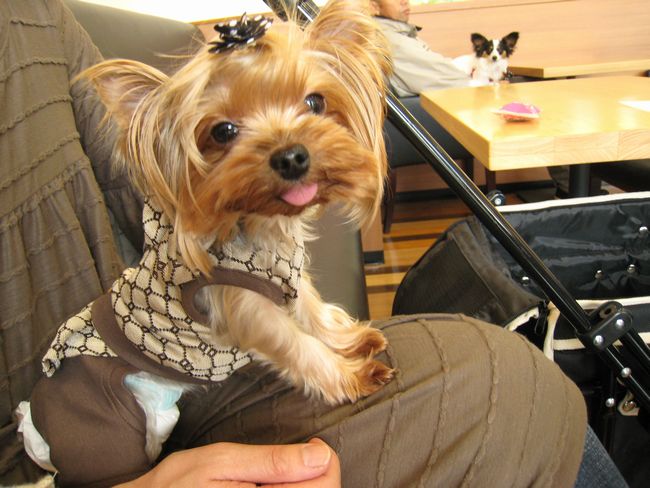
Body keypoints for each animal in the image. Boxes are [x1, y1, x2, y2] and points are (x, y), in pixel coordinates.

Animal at [18, 0, 393, 484]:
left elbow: (312, 310)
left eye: (315, 101)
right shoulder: (245, 306)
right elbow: (298, 345)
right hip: (101, 428)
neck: (260, 227)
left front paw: (352, 340)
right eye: (222, 132)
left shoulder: (290, 278)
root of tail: (37, 425)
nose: (292, 157)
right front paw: (353, 376)